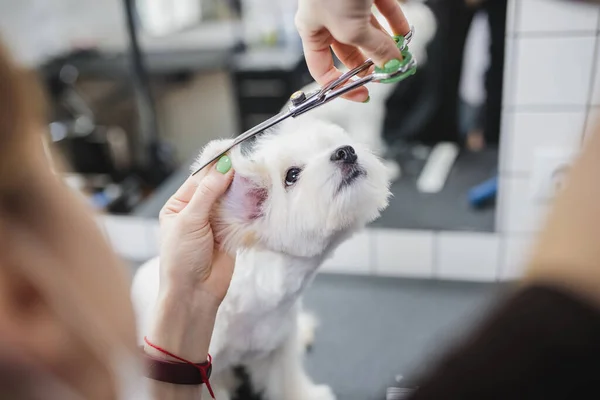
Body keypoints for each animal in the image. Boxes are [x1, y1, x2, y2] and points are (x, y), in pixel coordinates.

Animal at [131, 116, 392, 400]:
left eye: (335, 143)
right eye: (292, 175)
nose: (345, 151)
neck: (261, 305)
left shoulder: (279, 348)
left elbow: (288, 382)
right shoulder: (209, 370)